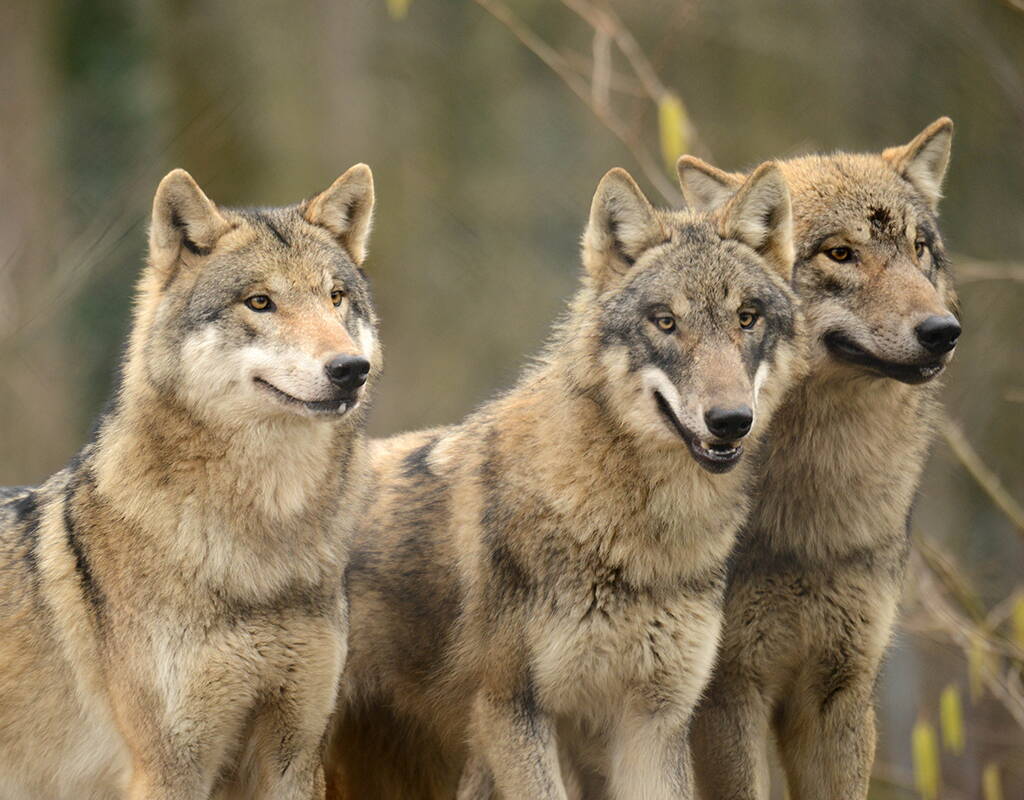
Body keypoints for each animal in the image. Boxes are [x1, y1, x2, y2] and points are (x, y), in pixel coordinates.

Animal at [0, 163, 382, 798]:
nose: (352, 368)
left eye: (336, 297)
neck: (261, 544)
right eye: (260, 302)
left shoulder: (295, 753)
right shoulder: (170, 765)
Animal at [327, 163, 806, 798]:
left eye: (746, 318)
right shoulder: (513, 711)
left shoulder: (655, 722)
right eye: (666, 322)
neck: (641, 535)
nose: (730, 421)